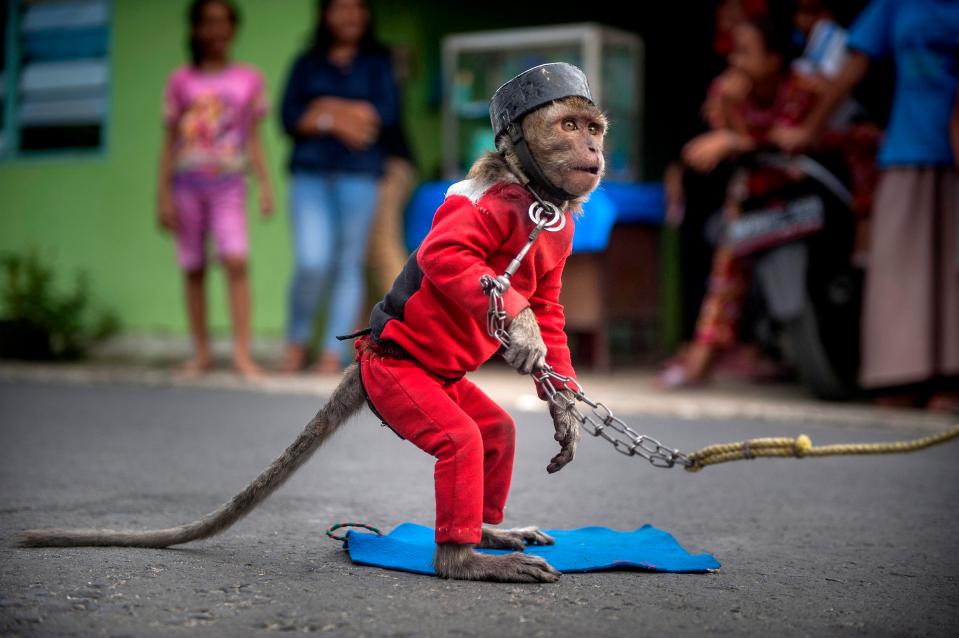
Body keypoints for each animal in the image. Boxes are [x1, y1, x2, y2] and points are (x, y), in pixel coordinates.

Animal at [16, 63, 608, 584]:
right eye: (569, 127)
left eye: (593, 128)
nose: (596, 151)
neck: (529, 190)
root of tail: (367, 358)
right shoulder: (489, 207)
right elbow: (449, 254)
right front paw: (523, 329)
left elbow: (552, 311)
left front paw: (562, 402)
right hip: (399, 385)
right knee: (460, 441)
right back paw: (461, 559)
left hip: (439, 385)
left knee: (493, 434)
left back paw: (486, 531)